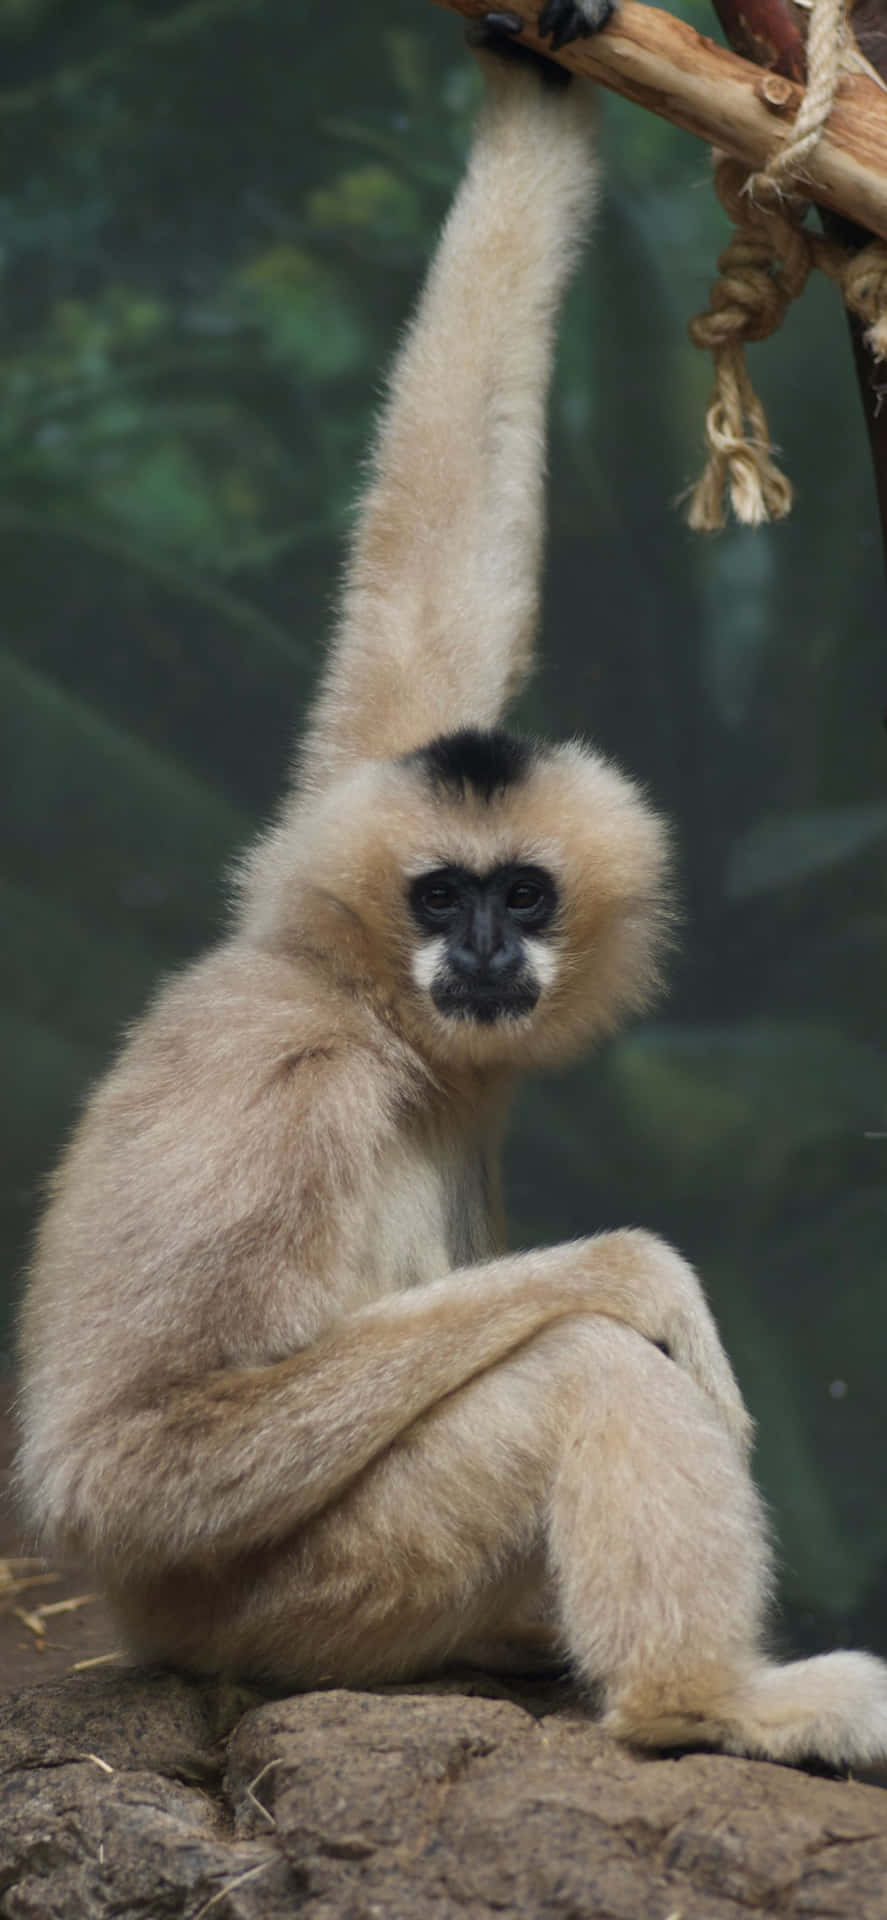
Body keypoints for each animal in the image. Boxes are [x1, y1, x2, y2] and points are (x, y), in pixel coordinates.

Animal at [16, 8, 887, 1770]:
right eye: (438, 903)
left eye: (523, 896)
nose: (482, 947)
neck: (374, 1023)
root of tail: (152, 1635)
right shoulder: (269, 1081)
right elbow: (118, 1456)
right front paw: (634, 1270)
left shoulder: (316, 826)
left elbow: (433, 573)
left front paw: (538, 66)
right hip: (295, 1597)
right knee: (570, 1372)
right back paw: (707, 1698)